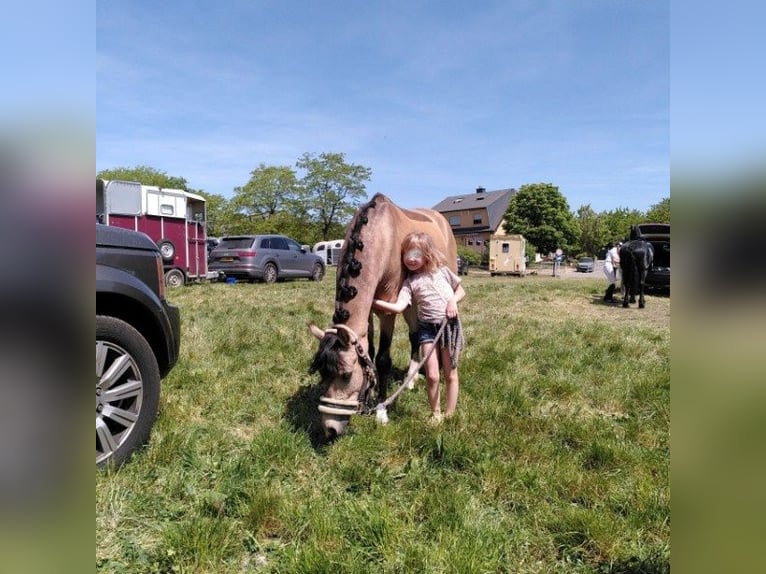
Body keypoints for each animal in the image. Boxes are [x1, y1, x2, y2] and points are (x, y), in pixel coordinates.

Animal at [308, 196, 460, 438]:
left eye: (346, 375)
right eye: (322, 374)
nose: (330, 430)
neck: (380, 238)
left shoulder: (389, 311)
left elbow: (382, 359)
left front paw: (381, 410)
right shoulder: (369, 314)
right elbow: (369, 353)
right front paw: (370, 394)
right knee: (416, 335)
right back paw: (412, 378)